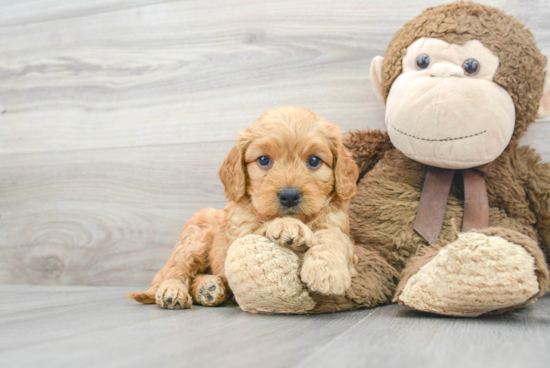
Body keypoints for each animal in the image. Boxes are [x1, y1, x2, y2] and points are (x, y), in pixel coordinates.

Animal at [129, 105, 362, 308]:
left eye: (314, 160)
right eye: (264, 160)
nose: (289, 196)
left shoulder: (338, 226)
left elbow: (333, 237)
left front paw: (327, 272)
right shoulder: (237, 238)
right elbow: (260, 228)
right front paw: (287, 225)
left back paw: (209, 288)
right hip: (195, 239)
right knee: (177, 270)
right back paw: (173, 291)